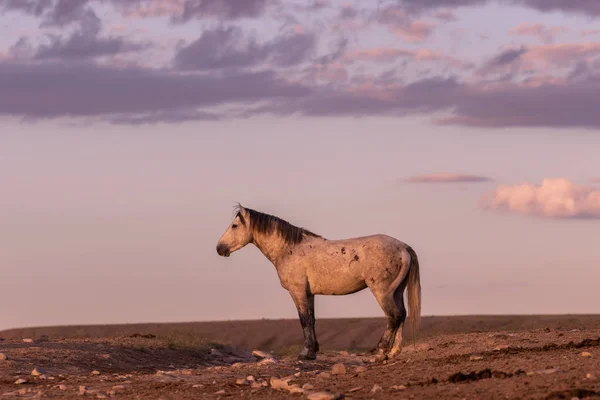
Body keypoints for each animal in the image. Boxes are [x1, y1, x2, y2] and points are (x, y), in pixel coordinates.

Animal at [217, 205, 422, 360]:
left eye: (234, 225)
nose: (220, 248)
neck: (289, 249)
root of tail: (403, 248)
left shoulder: (298, 292)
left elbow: (304, 320)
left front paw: (305, 353)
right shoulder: (309, 294)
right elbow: (312, 319)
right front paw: (313, 352)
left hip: (382, 291)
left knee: (393, 316)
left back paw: (380, 352)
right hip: (396, 291)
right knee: (402, 315)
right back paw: (394, 352)